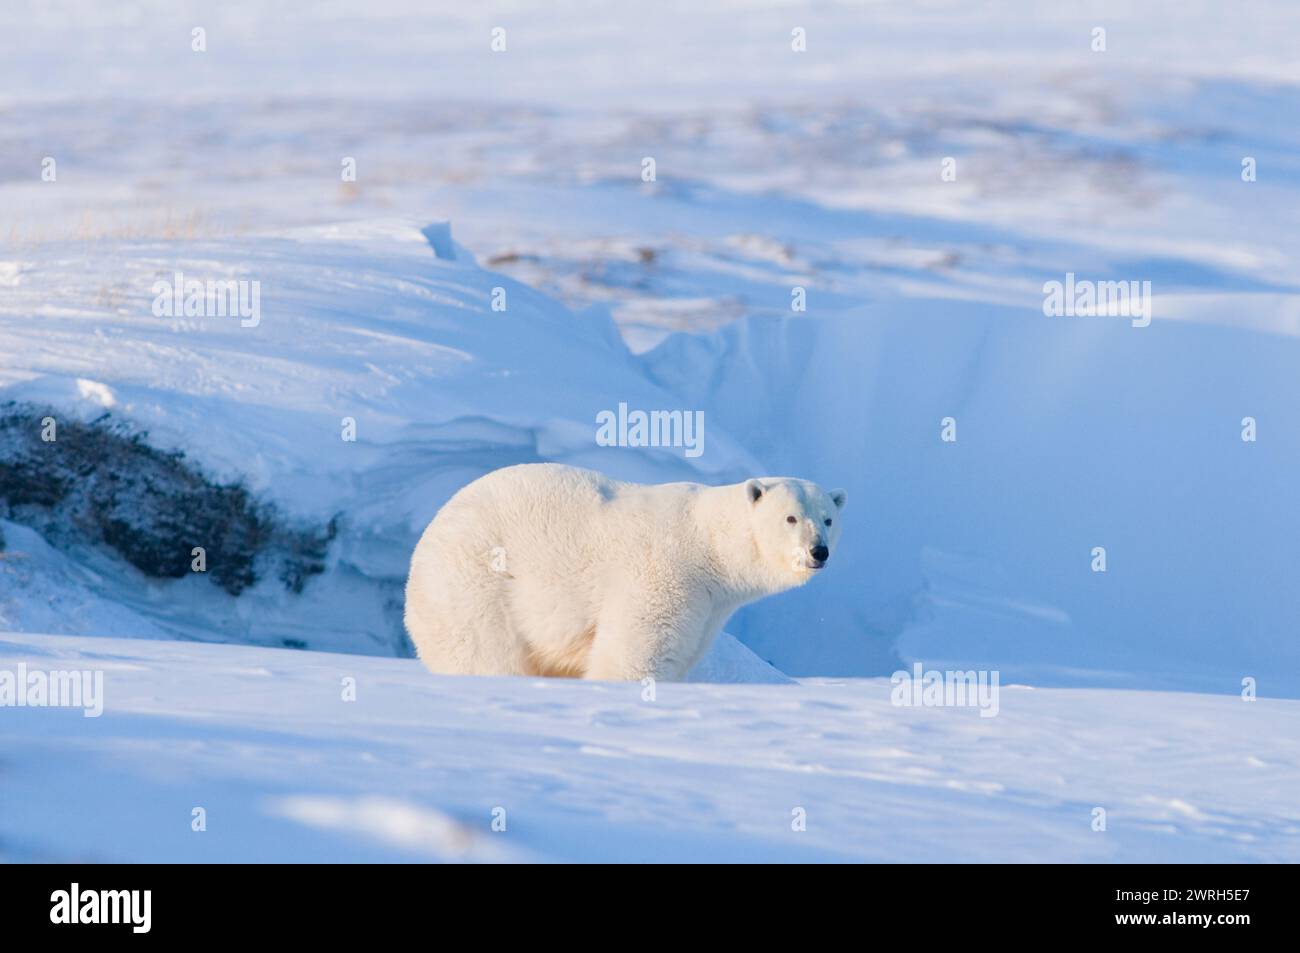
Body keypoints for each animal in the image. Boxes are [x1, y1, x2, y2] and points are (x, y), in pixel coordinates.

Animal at [403, 462, 842, 681]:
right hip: (474, 583)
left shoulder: (708, 611)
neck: (707, 544)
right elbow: (635, 652)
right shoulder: (664, 574)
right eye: (790, 517)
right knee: (481, 652)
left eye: (828, 518)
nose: (817, 551)